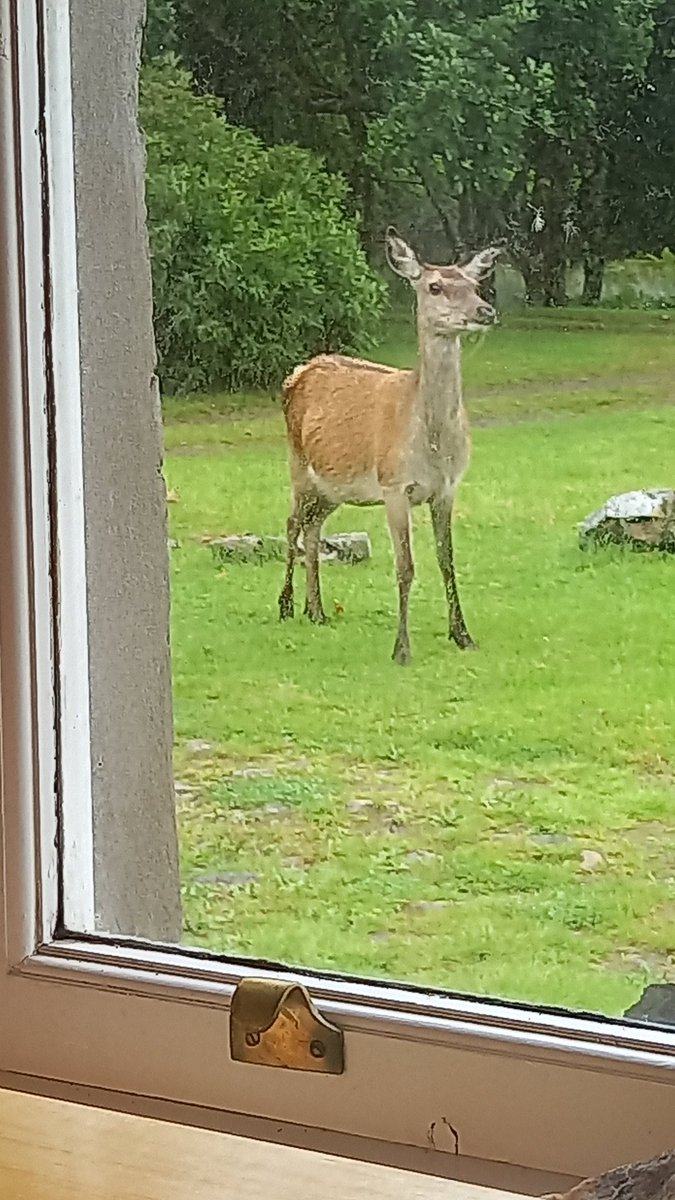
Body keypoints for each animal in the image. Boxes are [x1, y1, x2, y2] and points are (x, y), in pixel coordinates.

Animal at [278, 227, 500, 665]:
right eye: (435, 286)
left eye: (475, 285)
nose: (485, 311)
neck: (433, 446)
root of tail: (297, 372)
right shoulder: (395, 485)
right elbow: (406, 567)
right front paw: (401, 649)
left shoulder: (447, 489)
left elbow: (447, 559)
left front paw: (463, 635)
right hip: (298, 464)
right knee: (292, 523)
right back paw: (286, 605)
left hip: (334, 487)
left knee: (313, 527)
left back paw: (317, 610)